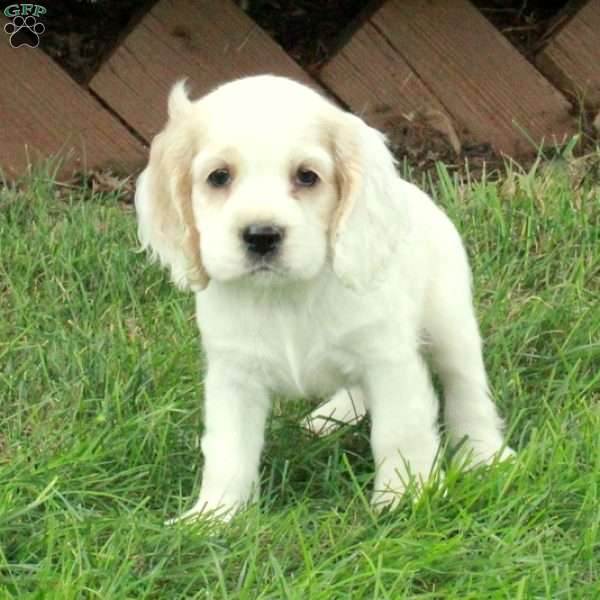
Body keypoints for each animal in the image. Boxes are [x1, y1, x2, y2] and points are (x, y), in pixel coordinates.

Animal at [136, 75, 516, 524]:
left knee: (467, 390)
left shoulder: (388, 361)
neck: (285, 297)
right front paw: (214, 517)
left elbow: (398, 432)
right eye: (219, 177)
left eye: (307, 176)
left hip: (451, 325)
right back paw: (328, 418)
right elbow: (228, 451)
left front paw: (404, 497)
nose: (261, 236)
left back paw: (483, 454)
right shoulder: (233, 376)